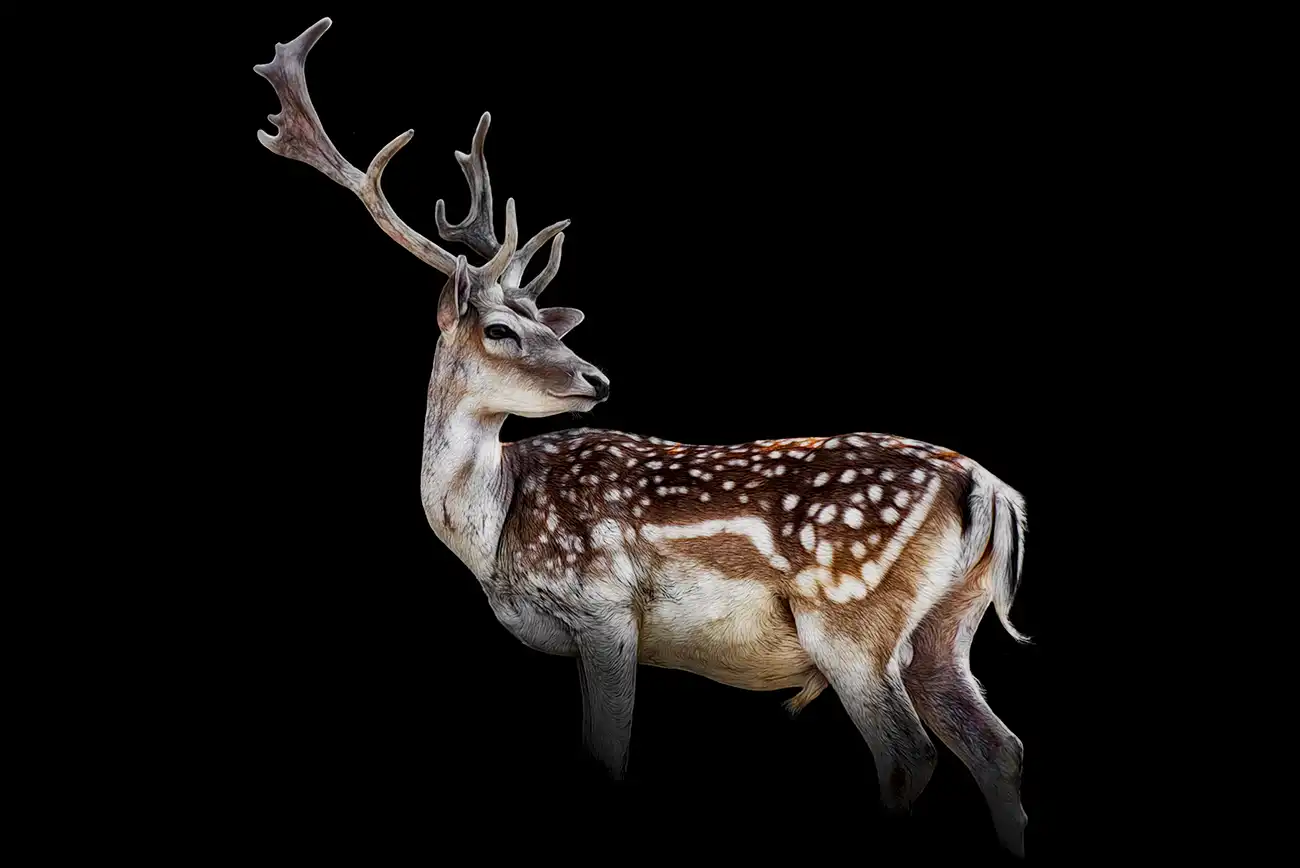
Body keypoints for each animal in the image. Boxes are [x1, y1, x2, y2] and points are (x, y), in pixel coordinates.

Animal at [255, 17, 1031, 857]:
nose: (595, 379)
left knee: (911, 752)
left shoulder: (604, 606)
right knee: (999, 746)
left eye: (548, 328)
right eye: (501, 330)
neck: (496, 534)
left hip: (849, 616)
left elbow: (609, 753)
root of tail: (991, 490)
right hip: (947, 625)